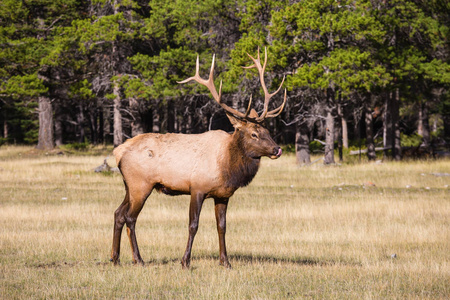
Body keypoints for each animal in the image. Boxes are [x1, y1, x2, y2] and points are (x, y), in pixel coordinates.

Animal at [110, 47, 284, 270]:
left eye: (267, 130)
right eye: (254, 134)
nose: (277, 149)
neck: (227, 167)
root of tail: (119, 151)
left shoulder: (223, 195)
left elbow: (222, 226)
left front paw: (225, 262)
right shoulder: (197, 188)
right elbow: (193, 225)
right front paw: (185, 261)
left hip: (129, 186)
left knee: (118, 214)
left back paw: (115, 258)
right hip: (141, 184)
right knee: (130, 218)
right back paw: (138, 259)